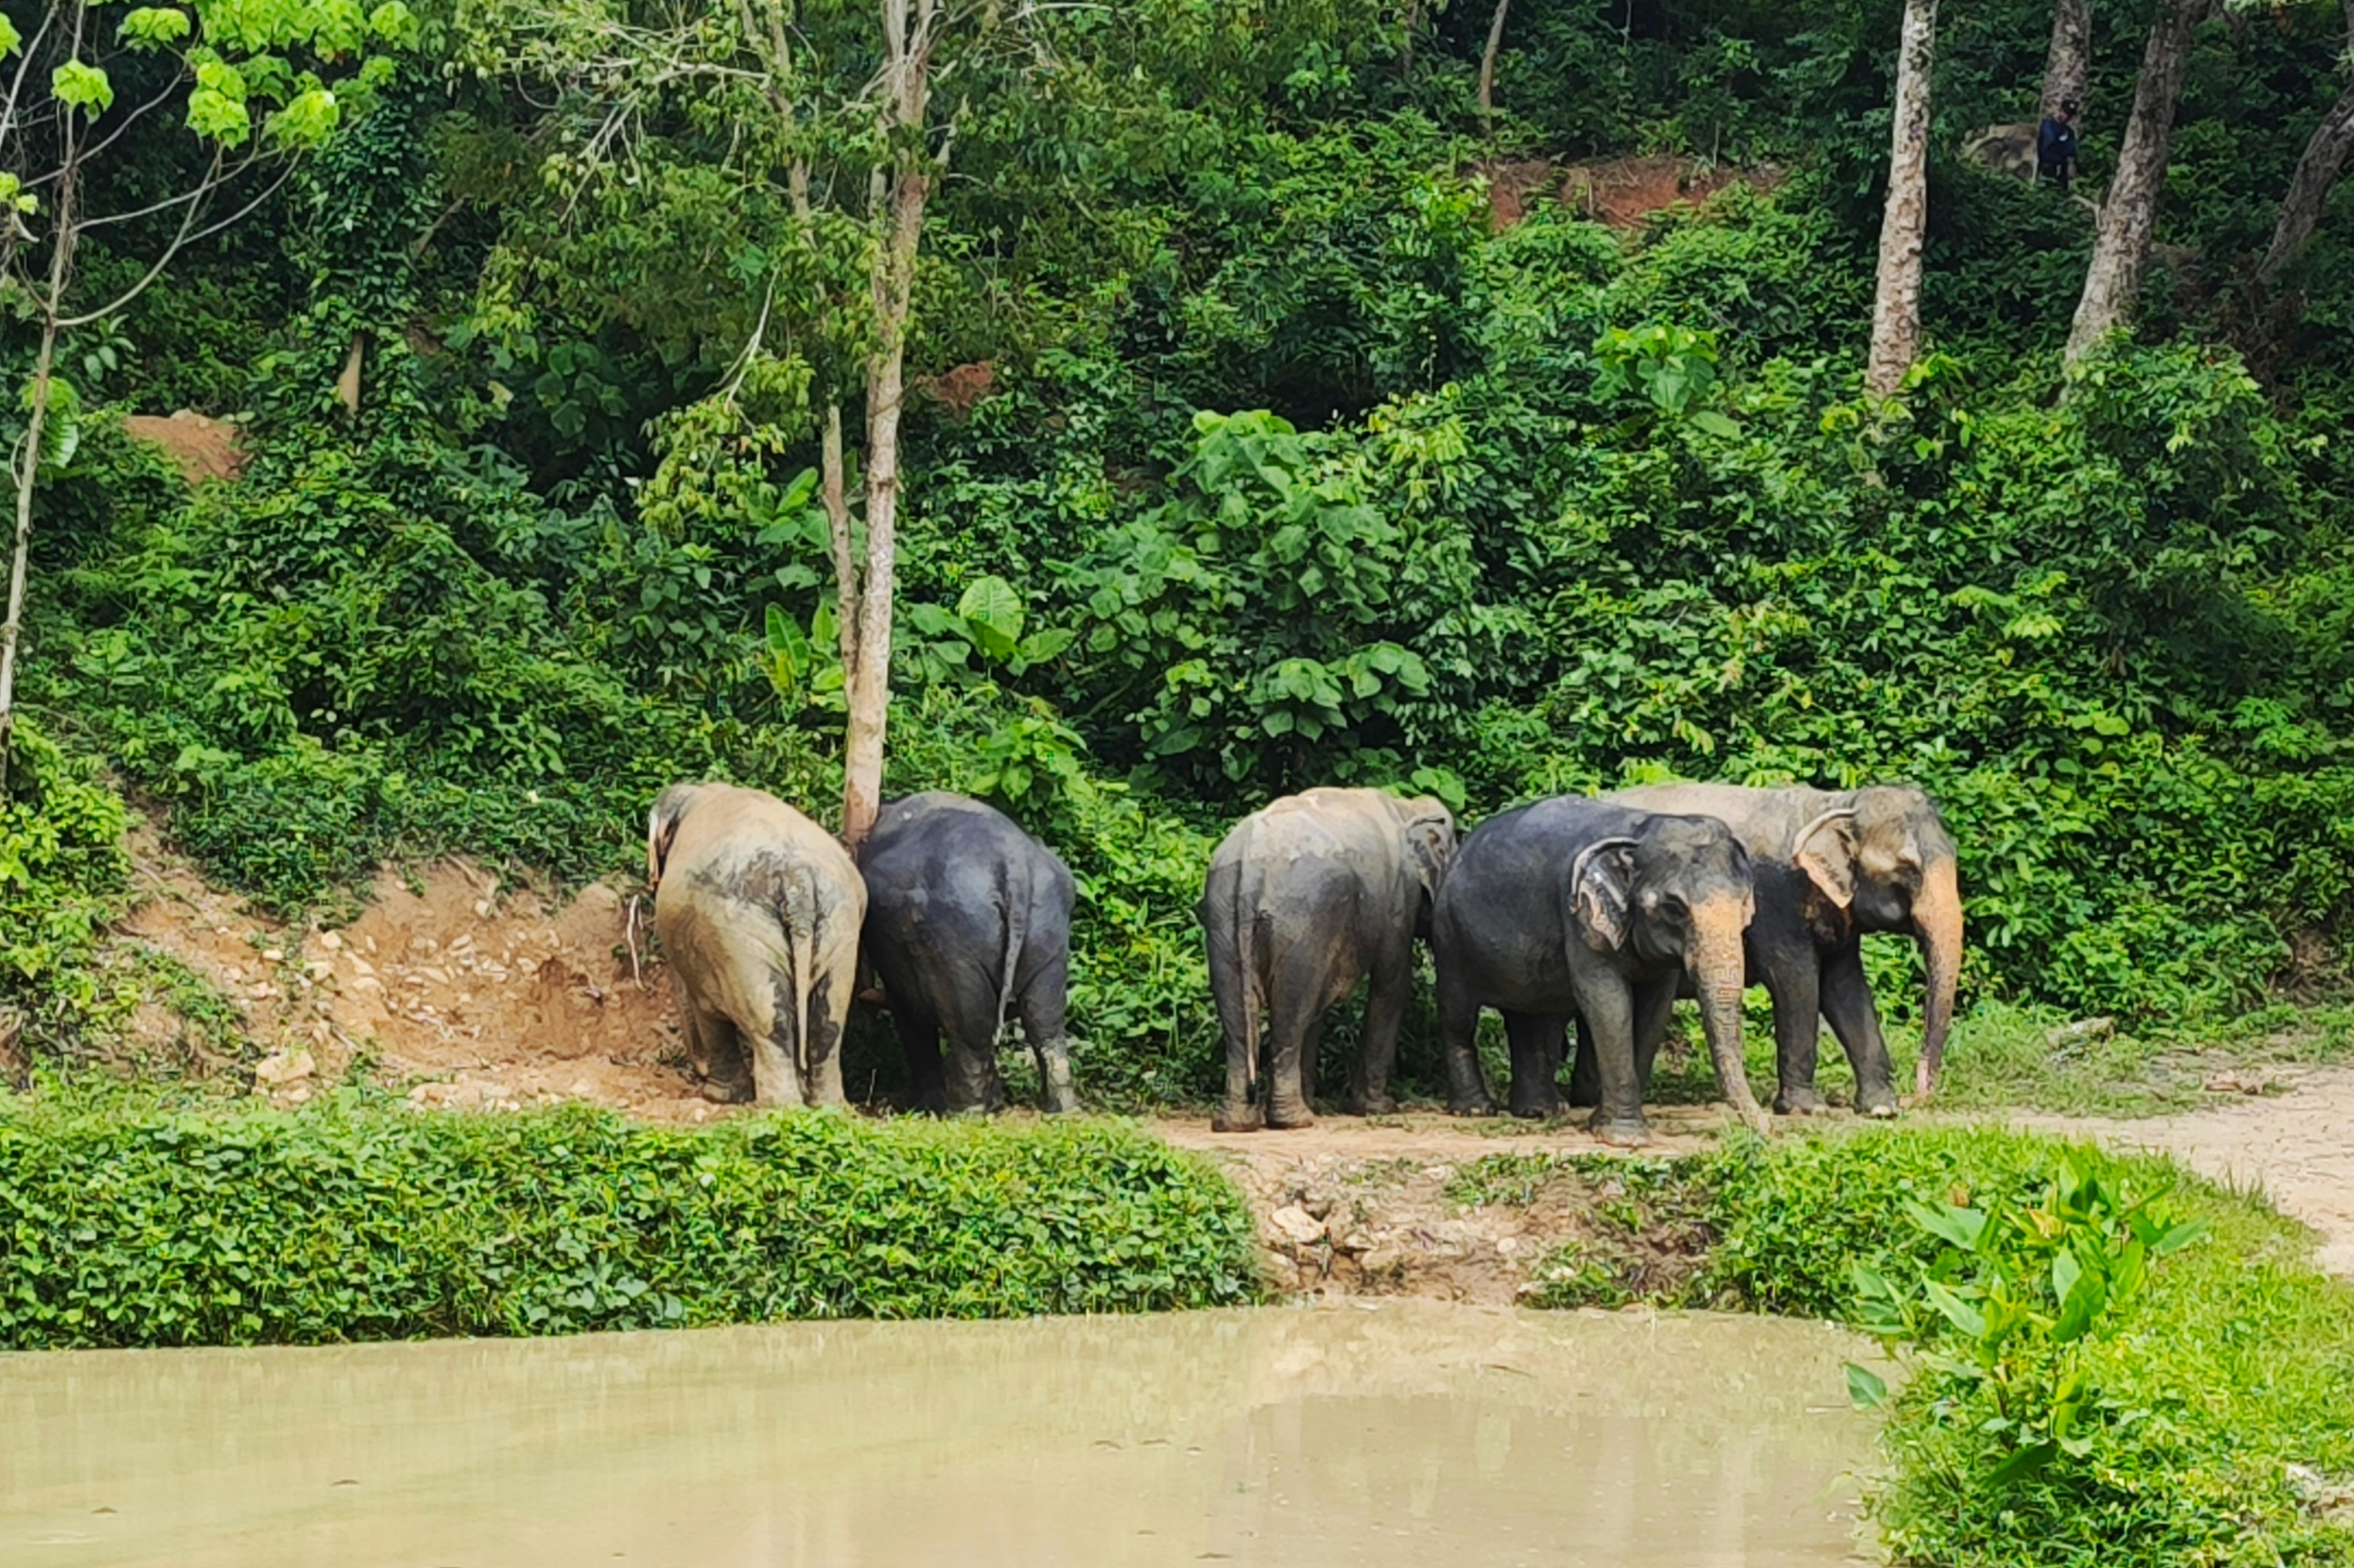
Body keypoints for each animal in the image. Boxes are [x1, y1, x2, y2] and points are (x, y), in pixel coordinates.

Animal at [646, 782, 866, 1108]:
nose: (697, 1071)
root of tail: (798, 883)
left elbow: (707, 1010)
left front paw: (718, 1098)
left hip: (738, 937)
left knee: (770, 1022)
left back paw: (779, 1106)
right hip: (840, 926)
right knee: (828, 1021)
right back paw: (826, 1106)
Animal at [857, 791, 1080, 1116]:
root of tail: (1015, 866)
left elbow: (911, 1018)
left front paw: (927, 1107)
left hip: (956, 932)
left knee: (969, 1025)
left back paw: (964, 1113)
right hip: (1049, 927)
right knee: (1045, 1022)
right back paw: (1062, 1110)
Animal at [1200, 788, 1456, 1132]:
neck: (1407, 806)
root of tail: (1252, 860)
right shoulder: (1400, 899)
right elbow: (1392, 982)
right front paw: (1379, 1107)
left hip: (1223, 914)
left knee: (1241, 1020)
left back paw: (1238, 1122)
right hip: (1300, 915)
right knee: (1292, 1010)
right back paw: (1295, 1120)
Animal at [1432, 797, 1770, 1146]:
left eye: (1745, 904)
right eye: (1674, 908)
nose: (1766, 1128)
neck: (1637, 832)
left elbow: (1654, 1011)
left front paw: (1604, 1123)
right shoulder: (1580, 918)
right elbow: (1608, 1002)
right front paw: (1625, 1138)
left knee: (1530, 1018)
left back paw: (1541, 1111)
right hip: (1449, 939)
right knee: (1460, 1017)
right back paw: (1476, 1109)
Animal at [1593, 782, 1963, 1114]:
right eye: (1908, 870)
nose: (1912, 1097)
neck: (1834, 803)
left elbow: (1845, 989)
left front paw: (1881, 1109)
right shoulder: (1774, 899)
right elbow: (1796, 981)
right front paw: (1806, 1110)